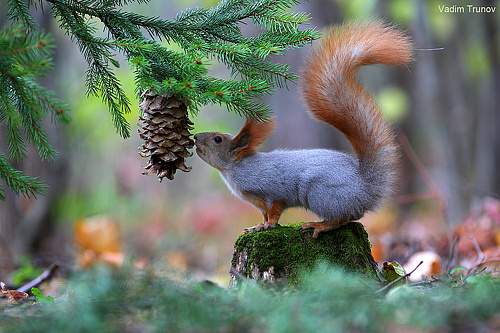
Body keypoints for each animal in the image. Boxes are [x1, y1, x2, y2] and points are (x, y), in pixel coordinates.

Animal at [193, 20, 412, 237]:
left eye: (217, 139)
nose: (195, 137)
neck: (233, 169)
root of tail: (365, 189)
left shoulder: (270, 191)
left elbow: (274, 211)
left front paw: (268, 225)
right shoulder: (257, 203)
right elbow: (263, 215)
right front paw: (257, 226)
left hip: (321, 195)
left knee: (344, 218)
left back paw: (320, 225)